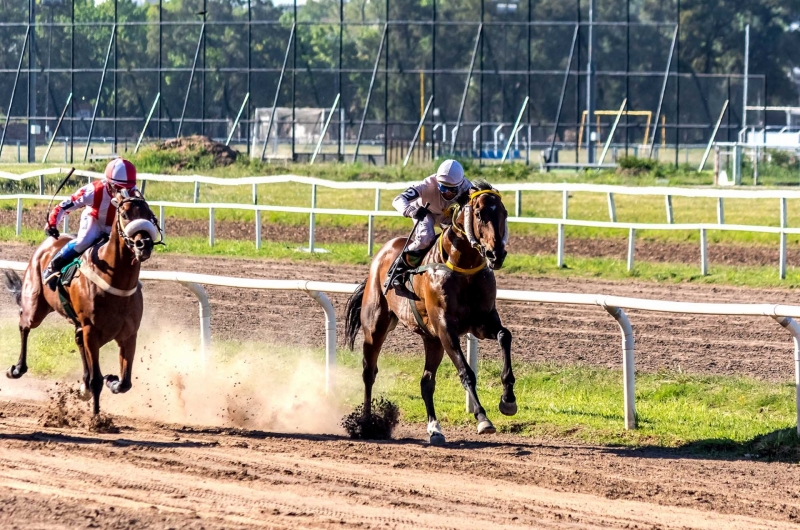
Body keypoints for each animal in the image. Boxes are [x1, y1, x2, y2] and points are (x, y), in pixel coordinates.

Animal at [2, 188, 162, 414]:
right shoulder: (91, 331)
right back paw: (16, 369)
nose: (144, 244)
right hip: (35, 305)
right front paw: (96, 417)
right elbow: (97, 380)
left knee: (77, 340)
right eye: (125, 214)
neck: (115, 281)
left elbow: (125, 382)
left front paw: (112, 380)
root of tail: (49, 243)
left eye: (150, 215)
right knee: (24, 323)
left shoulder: (129, 334)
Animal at [344, 179, 512, 444]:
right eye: (478, 214)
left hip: (432, 340)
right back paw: (367, 424)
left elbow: (505, 335)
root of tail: (384, 252)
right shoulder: (445, 327)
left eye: (504, 213)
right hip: (376, 326)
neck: (462, 268)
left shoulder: (481, 321)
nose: (496, 254)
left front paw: (508, 400)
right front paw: (483, 418)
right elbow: (466, 372)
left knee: (426, 382)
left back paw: (435, 429)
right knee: (369, 372)